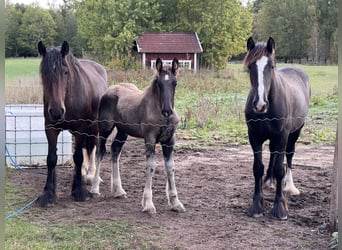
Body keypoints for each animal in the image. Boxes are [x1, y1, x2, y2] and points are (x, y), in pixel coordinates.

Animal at [37, 41, 107, 207]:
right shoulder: (50, 128)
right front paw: (48, 193)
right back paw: (83, 173)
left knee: (93, 147)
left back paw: (91, 175)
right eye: (43, 73)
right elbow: (51, 159)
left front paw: (79, 191)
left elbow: (78, 157)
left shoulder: (80, 128)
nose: (56, 111)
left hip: (94, 127)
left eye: (65, 72)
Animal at [243, 36, 310, 219]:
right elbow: (257, 168)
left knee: (289, 155)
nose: (260, 104)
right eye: (250, 66)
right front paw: (256, 205)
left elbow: (280, 168)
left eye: (271, 66)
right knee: (273, 153)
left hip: (295, 132)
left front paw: (279, 207)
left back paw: (290, 187)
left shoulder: (282, 136)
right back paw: (269, 181)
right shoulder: (254, 137)